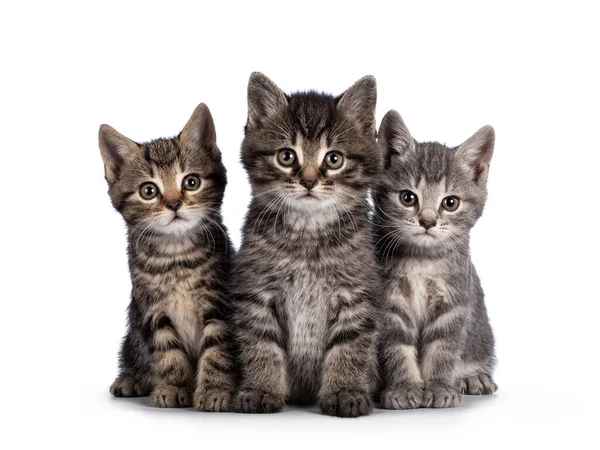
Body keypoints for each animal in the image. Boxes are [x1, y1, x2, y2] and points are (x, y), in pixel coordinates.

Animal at [99, 104, 236, 412]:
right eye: (148, 191)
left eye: (191, 182)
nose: (174, 203)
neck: (176, 256)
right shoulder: (152, 309)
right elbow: (167, 351)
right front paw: (174, 387)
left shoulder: (219, 303)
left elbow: (217, 348)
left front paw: (215, 391)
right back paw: (131, 379)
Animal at [376, 110, 496, 410]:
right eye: (408, 198)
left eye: (450, 203)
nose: (428, 221)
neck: (422, 261)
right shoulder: (389, 304)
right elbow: (396, 348)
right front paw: (404, 388)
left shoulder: (453, 304)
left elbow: (442, 349)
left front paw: (439, 387)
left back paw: (472, 377)